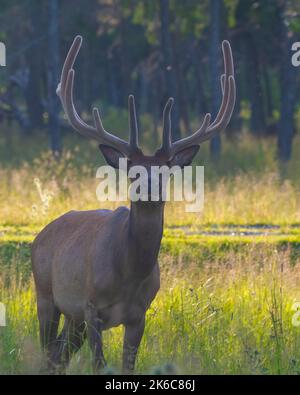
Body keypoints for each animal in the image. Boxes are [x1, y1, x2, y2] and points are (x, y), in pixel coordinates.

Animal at [31, 36, 236, 374]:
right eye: (133, 171)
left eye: (166, 171)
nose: (150, 188)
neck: (128, 273)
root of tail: (40, 235)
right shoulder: (91, 307)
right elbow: (99, 365)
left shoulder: (139, 314)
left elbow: (128, 366)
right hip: (45, 294)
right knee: (47, 353)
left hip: (72, 318)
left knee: (58, 356)